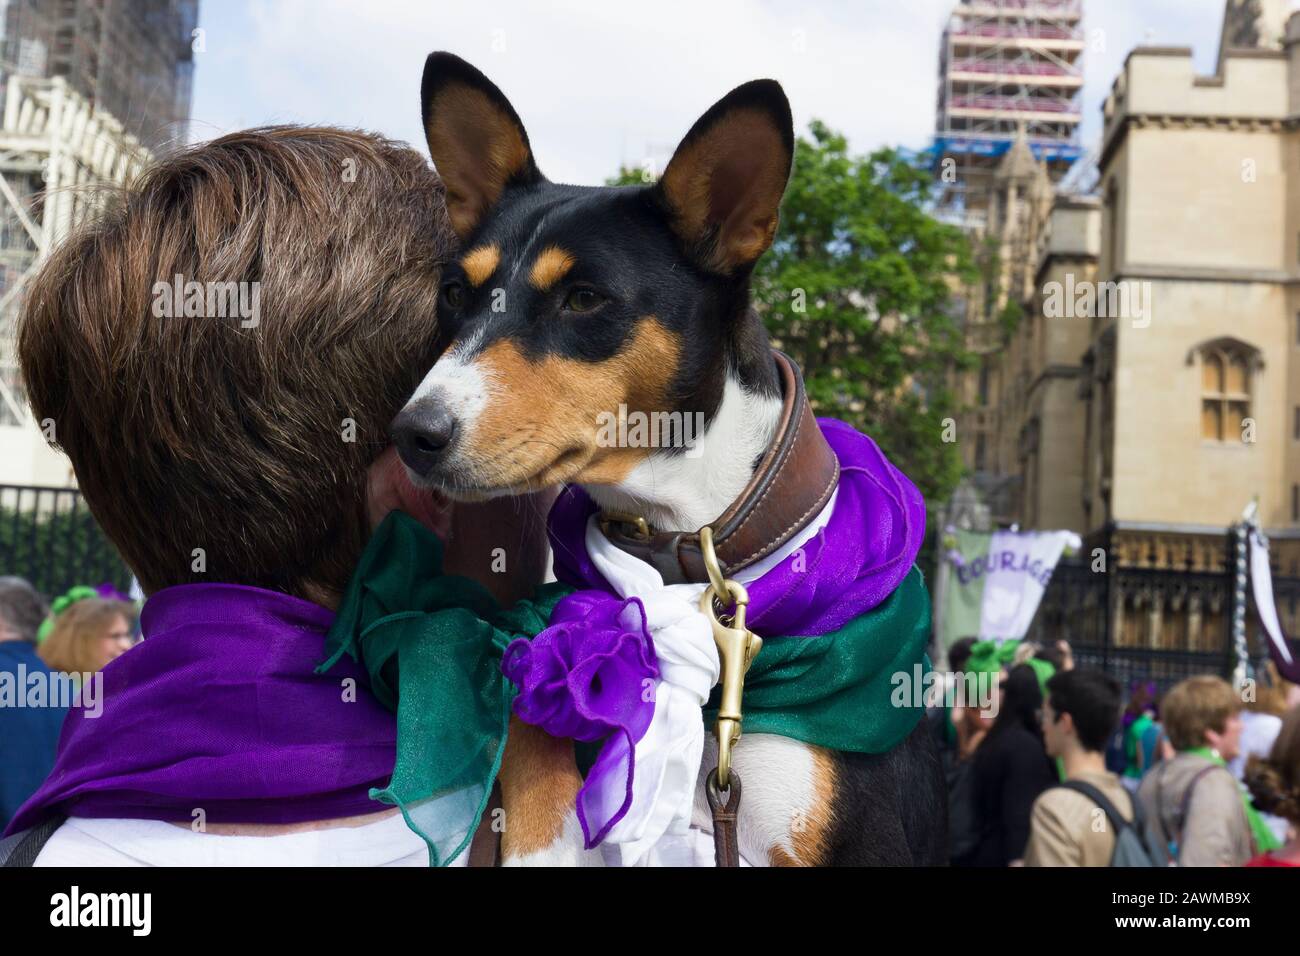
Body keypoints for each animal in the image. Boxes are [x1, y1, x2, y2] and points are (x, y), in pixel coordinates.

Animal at [387, 50, 946, 868]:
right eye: (456, 292)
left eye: (584, 299)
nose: (413, 434)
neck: (679, 545)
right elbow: (529, 709)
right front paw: (544, 836)